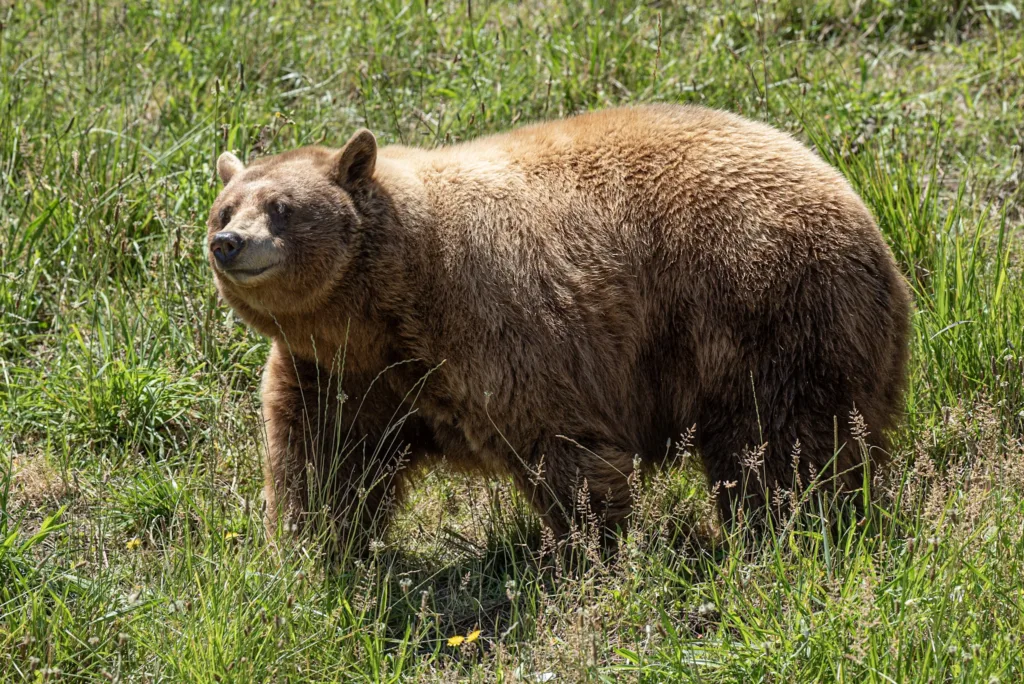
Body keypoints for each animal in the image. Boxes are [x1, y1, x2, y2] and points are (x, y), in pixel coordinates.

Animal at [206, 104, 911, 553]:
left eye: (282, 207)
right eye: (224, 206)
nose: (228, 243)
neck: (385, 306)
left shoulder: (497, 323)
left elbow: (565, 449)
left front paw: (585, 552)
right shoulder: (342, 371)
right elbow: (321, 461)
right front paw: (310, 549)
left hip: (769, 308)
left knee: (783, 444)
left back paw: (791, 531)